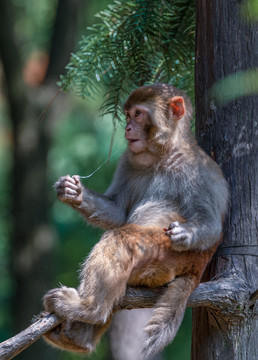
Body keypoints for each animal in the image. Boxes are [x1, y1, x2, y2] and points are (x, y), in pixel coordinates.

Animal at [43, 84, 229, 358]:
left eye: (138, 114)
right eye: (128, 115)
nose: (127, 128)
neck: (164, 154)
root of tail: (197, 268)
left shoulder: (200, 171)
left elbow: (213, 224)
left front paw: (185, 234)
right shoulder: (127, 160)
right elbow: (118, 213)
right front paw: (73, 192)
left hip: (168, 258)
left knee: (122, 239)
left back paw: (90, 309)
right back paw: (78, 337)